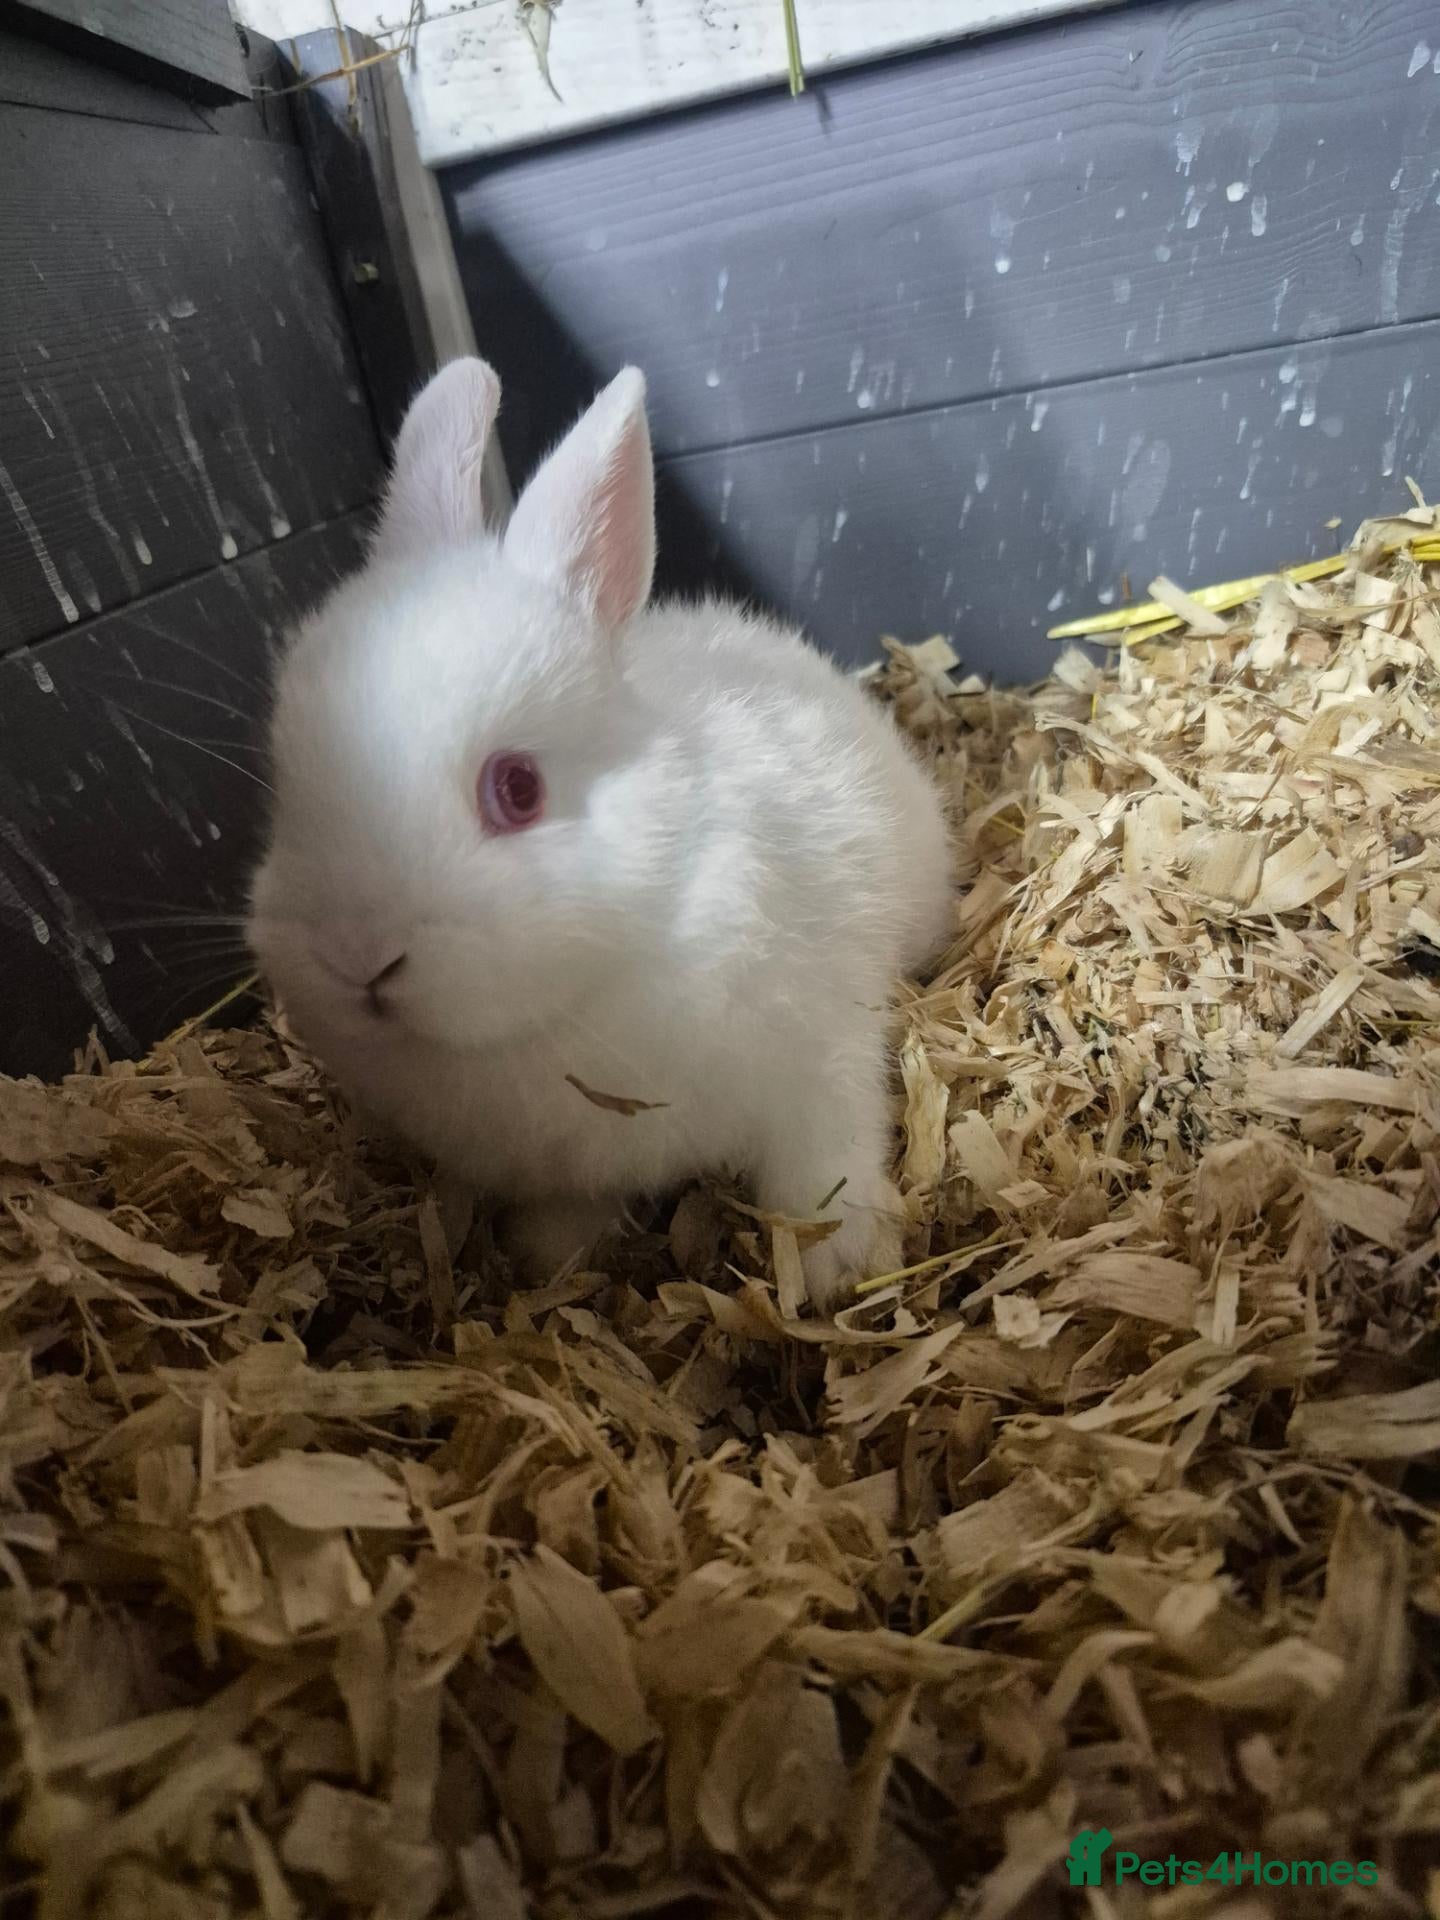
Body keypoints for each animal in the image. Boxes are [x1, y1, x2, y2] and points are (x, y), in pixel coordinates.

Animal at [247, 357, 953, 1308]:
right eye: (288, 781)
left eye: (518, 789)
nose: (356, 956)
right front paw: (545, 1262)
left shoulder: (818, 1054)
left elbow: (824, 1162)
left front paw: (843, 1264)